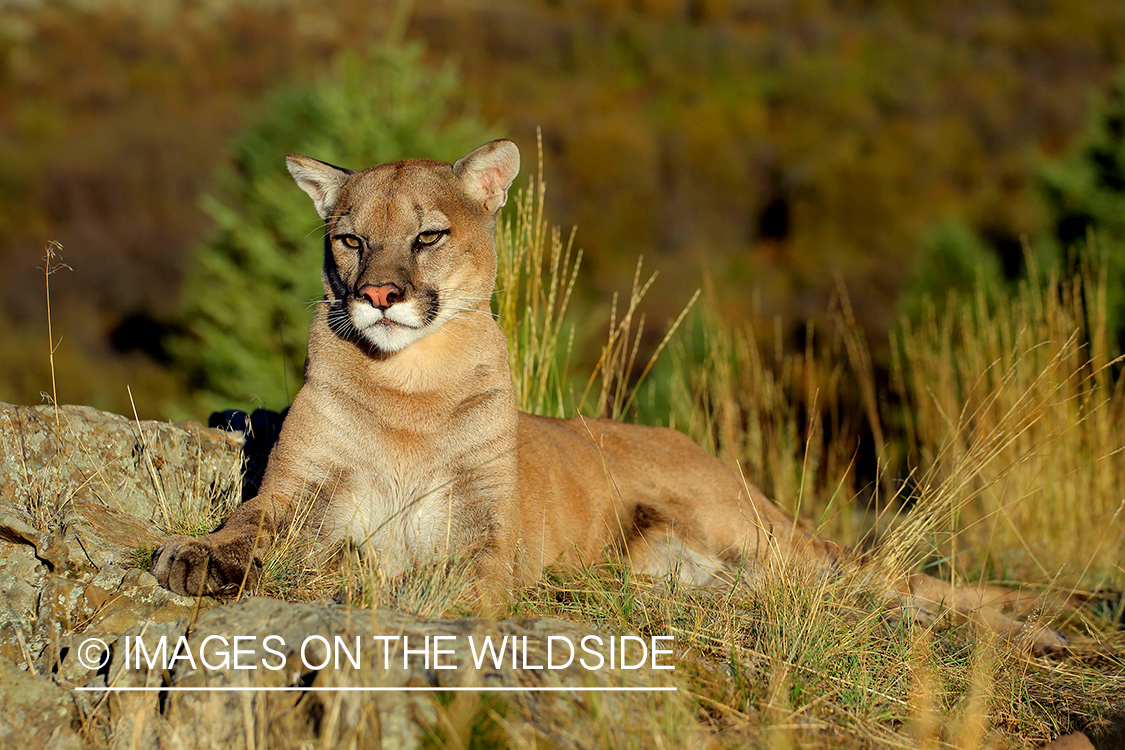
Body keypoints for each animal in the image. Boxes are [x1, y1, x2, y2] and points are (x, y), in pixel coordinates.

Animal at [154, 142, 1066, 656]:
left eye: (427, 235)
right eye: (348, 237)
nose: (378, 294)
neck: (407, 384)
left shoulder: (486, 522)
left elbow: (471, 570)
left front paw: (432, 595)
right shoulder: (298, 486)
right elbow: (248, 522)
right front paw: (198, 554)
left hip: (751, 533)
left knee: (871, 587)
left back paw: (1036, 632)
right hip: (716, 573)